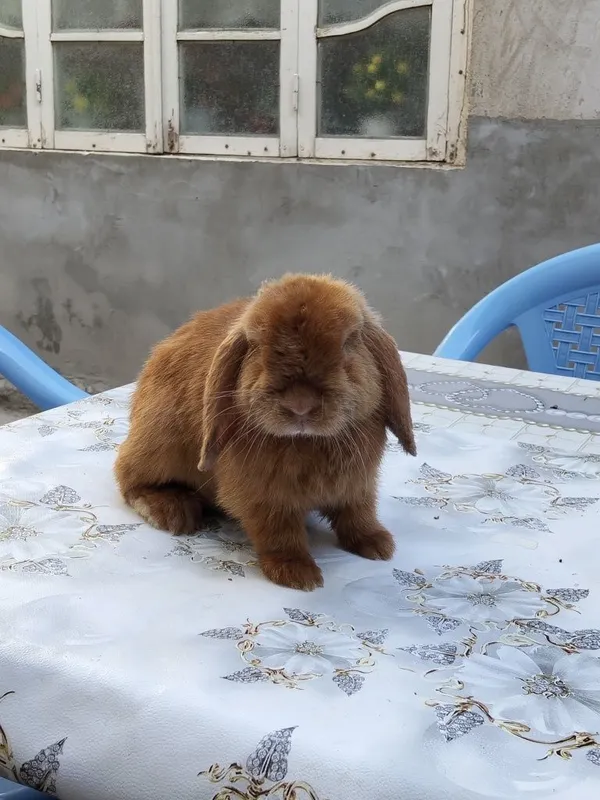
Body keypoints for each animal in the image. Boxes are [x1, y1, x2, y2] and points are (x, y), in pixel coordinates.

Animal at [114, 273, 416, 591]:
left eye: (349, 342)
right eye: (257, 345)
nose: (300, 404)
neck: (307, 442)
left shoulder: (359, 486)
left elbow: (358, 514)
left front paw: (378, 545)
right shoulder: (263, 498)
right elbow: (278, 533)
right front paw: (298, 575)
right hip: (158, 445)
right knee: (128, 479)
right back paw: (171, 511)